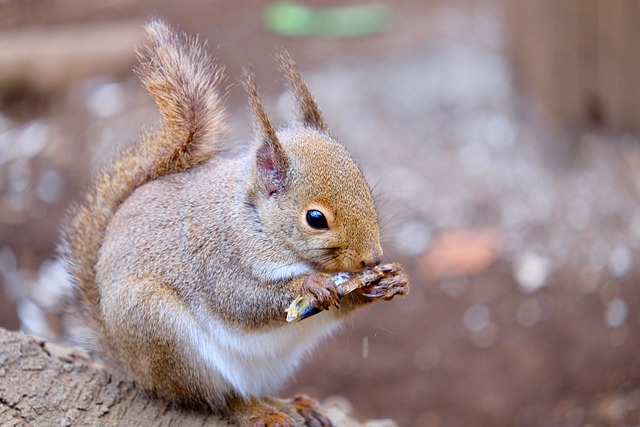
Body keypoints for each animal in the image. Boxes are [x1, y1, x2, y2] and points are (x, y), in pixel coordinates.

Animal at [60, 19, 409, 426]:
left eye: (366, 188)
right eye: (316, 219)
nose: (372, 258)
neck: (255, 221)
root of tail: (128, 365)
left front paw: (389, 281)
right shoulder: (217, 257)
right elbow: (240, 299)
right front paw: (312, 284)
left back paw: (291, 404)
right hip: (158, 329)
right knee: (215, 398)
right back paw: (259, 411)